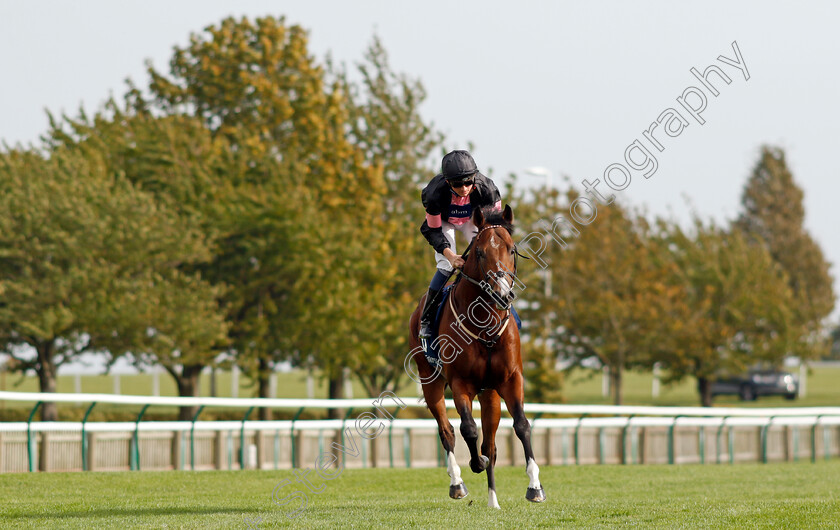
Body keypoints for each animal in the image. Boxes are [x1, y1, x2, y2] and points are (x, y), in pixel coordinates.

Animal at [406, 203, 544, 508]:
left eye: (512, 250)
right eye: (480, 252)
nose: (503, 295)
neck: (485, 323)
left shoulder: (510, 379)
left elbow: (521, 426)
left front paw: (535, 486)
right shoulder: (461, 382)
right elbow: (468, 429)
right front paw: (474, 463)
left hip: (489, 393)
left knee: (490, 444)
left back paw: (493, 500)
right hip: (430, 380)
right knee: (447, 431)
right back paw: (457, 482)